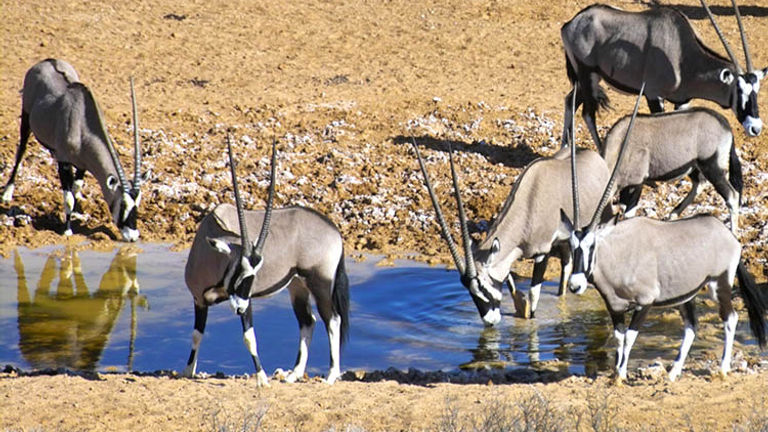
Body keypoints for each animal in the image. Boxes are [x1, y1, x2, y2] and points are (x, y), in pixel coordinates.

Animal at [3, 59, 148, 241]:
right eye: (122, 204)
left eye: (138, 203)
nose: (133, 236)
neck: (81, 125)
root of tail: (46, 61)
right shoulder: (64, 162)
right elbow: (69, 198)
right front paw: (67, 230)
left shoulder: (82, 165)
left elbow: (76, 188)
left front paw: (76, 214)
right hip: (26, 117)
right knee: (21, 150)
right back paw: (7, 193)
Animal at [183, 137, 349, 386]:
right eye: (239, 270)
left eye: (253, 274)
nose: (239, 308)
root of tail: (334, 230)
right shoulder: (199, 300)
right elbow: (196, 335)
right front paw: (188, 371)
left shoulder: (247, 301)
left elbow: (249, 337)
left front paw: (262, 379)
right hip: (297, 286)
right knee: (307, 321)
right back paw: (294, 374)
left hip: (319, 283)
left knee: (333, 320)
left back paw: (330, 375)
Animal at [412, 134, 611, 324]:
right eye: (469, 290)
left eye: (483, 287)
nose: (490, 321)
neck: (530, 201)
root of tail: (595, 157)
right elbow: (510, 281)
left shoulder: (543, 252)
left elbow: (534, 293)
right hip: (565, 241)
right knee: (566, 268)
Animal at [561, 1, 768, 149]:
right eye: (738, 90)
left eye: (756, 91)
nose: (755, 128)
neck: (683, 56)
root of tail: (570, 24)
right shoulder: (653, 95)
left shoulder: (682, 101)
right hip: (587, 75)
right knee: (588, 114)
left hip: (588, 80)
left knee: (570, 100)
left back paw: (564, 148)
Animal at [602, 107, 742, 233]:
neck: (621, 144)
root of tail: (725, 125)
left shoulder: (636, 183)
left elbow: (628, 213)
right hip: (694, 168)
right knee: (699, 184)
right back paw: (673, 214)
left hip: (712, 168)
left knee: (732, 196)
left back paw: (733, 235)